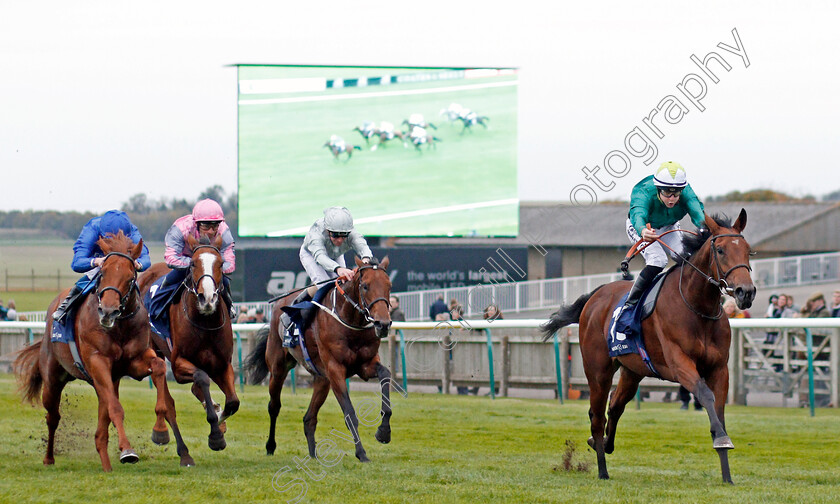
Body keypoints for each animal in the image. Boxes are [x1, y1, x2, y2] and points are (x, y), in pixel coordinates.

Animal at [13, 233, 187, 472]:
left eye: (130, 277)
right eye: (102, 272)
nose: (108, 311)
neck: (119, 326)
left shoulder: (134, 361)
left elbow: (159, 367)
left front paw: (160, 431)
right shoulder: (98, 362)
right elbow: (116, 409)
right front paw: (128, 450)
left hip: (104, 381)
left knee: (100, 425)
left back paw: (106, 463)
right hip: (53, 378)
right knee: (53, 416)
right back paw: (49, 458)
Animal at [137, 234, 236, 458]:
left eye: (221, 263)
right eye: (192, 264)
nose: (207, 299)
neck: (205, 323)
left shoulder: (222, 364)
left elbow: (233, 402)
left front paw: (219, 419)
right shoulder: (178, 364)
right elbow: (201, 377)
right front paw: (215, 434)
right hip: (153, 350)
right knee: (165, 395)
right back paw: (161, 431)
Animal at [246, 258, 394, 462]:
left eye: (389, 286)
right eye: (365, 286)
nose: (383, 324)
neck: (350, 321)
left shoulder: (365, 365)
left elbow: (385, 374)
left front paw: (384, 432)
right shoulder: (335, 369)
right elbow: (349, 412)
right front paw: (361, 453)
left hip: (322, 379)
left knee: (309, 418)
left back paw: (313, 454)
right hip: (278, 369)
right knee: (274, 406)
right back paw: (270, 446)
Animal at [540, 211, 756, 482]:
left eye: (748, 250)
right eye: (720, 250)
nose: (745, 292)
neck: (698, 308)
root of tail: (595, 296)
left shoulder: (719, 368)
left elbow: (718, 409)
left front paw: (726, 473)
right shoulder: (679, 364)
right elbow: (705, 394)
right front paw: (722, 440)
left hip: (632, 371)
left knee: (615, 405)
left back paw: (603, 444)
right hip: (598, 371)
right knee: (597, 416)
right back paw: (602, 469)